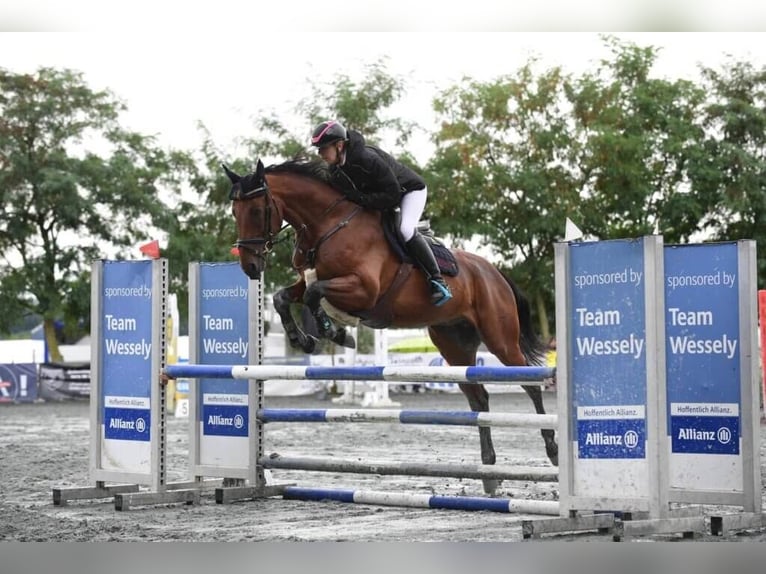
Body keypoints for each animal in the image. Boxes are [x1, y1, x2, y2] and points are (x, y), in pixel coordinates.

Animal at [224, 159, 560, 496]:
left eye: (257, 210)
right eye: (235, 212)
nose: (250, 267)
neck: (326, 224)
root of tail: (494, 272)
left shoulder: (363, 289)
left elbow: (313, 294)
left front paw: (334, 331)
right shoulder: (309, 282)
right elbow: (284, 297)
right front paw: (304, 338)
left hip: (499, 338)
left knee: (531, 384)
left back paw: (552, 450)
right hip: (454, 346)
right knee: (479, 398)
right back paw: (489, 473)